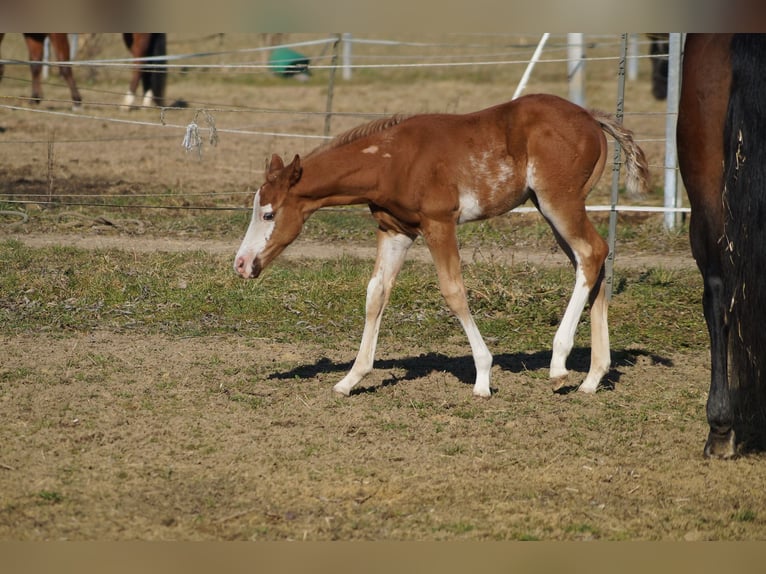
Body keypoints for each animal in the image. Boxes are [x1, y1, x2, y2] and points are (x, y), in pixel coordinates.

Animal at [234, 93, 650, 398]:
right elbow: (376, 293)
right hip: (551, 208)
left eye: (268, 214)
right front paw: (351, 378)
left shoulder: (439, 224)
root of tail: (590, 117)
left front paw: (482, 377)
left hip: (558, 202)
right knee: (593, 262)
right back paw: (592, 379)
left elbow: (453, 291)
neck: (393, 160)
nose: (241, 263)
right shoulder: (395, 230)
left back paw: (560, 363)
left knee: (592, 253)